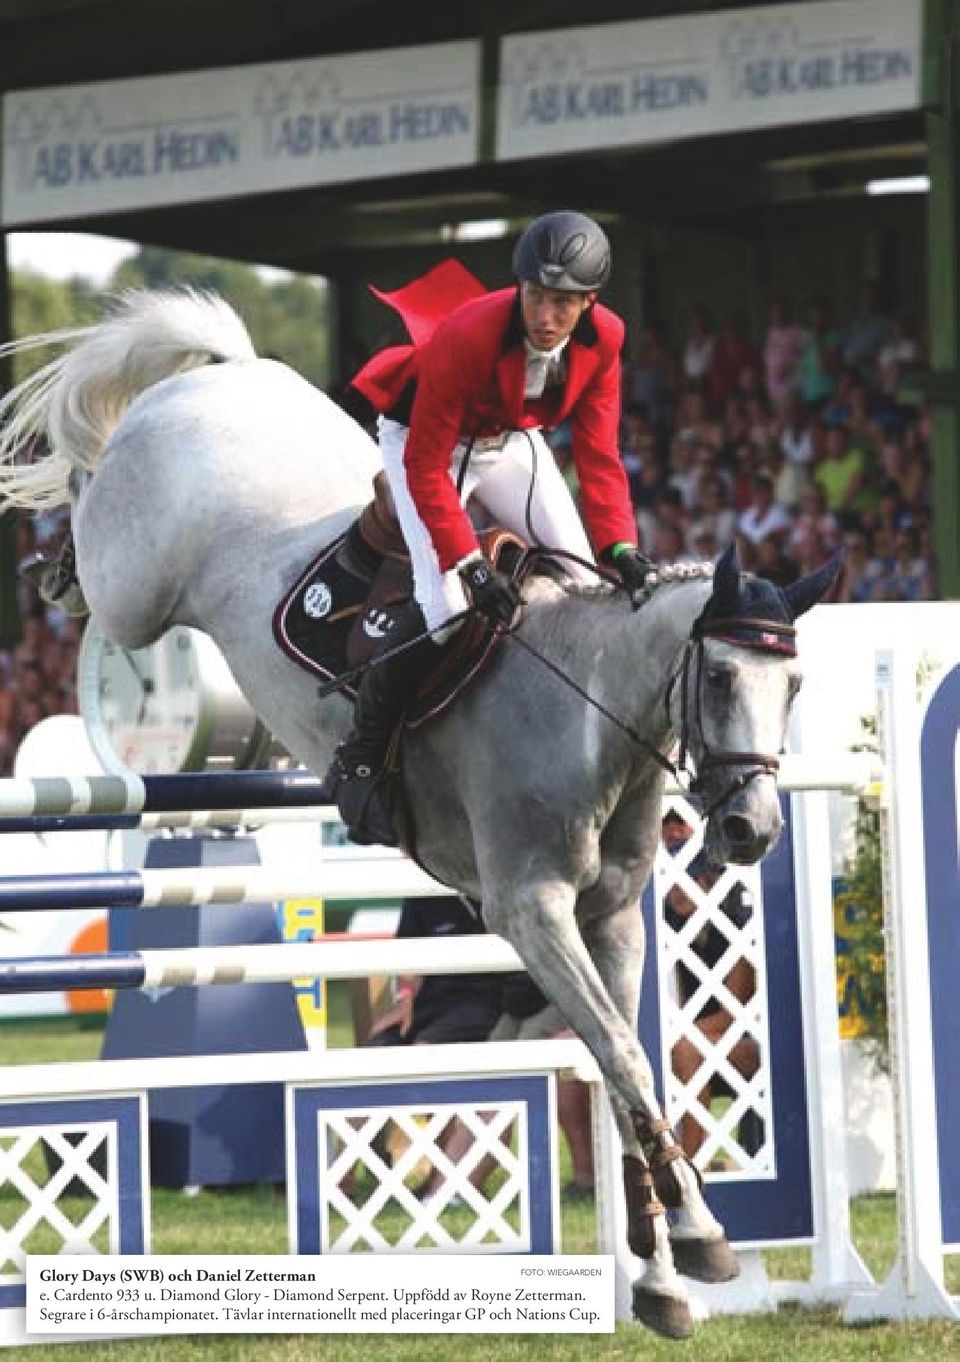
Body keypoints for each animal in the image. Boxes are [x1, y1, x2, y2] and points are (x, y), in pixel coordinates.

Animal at [0, 290, 838, 1340]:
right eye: (721, 677)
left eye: (795, 684)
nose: (750, 831)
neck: (589, 711)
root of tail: (223, 377)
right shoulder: (529, 912)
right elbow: (623, 1057)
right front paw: (695, 1247)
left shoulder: (610, 919)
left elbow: (626, 1068)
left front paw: (666, 1267)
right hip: (136, 591)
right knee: (90, 499)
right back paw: (50, 558)